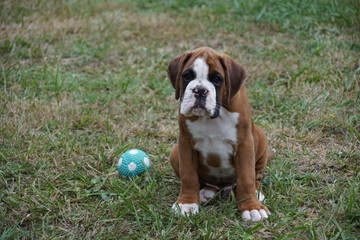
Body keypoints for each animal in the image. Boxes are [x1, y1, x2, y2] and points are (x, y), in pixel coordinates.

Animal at [167, 47, 274, 221]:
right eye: (187, 76)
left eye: (217, 79)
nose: (200, 90)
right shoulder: (185, 143)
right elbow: (188, 176)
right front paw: (187, 203)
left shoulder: (245, 144)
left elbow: (247, 178)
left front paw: (251, 207)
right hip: (175, 152)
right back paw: (206, 192)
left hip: (260, 139)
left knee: (256, 176)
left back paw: (257, 194)